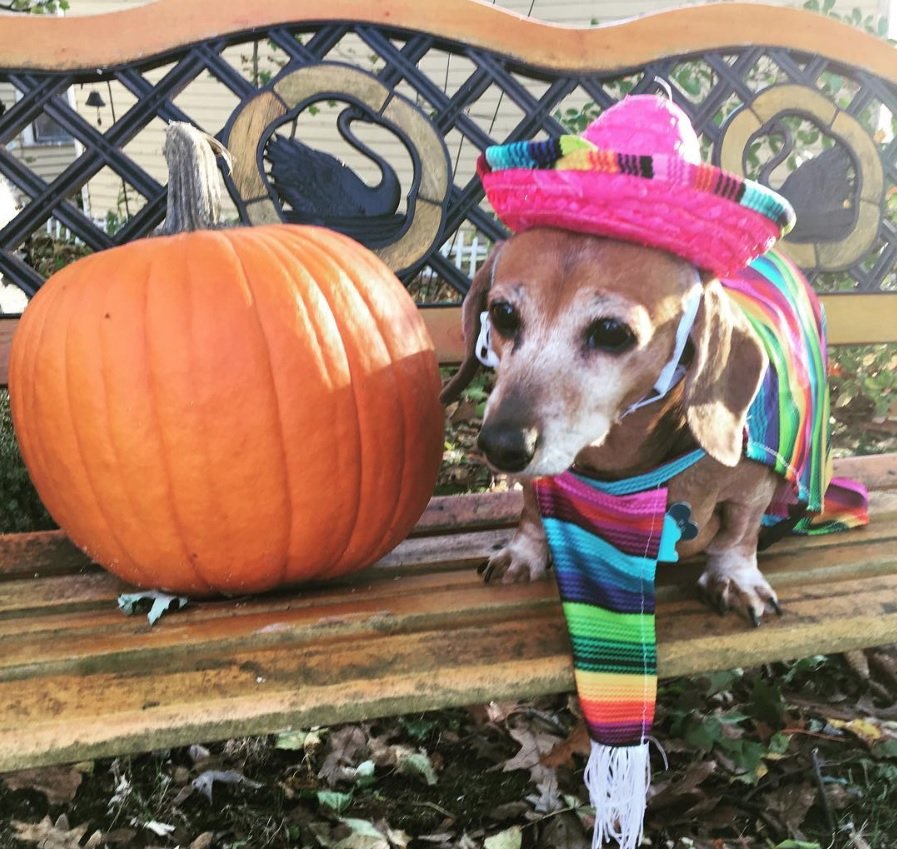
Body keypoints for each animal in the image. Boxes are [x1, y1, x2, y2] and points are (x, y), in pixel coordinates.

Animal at [438, 227, 788, 624]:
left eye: (610, 331)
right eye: (502, 313)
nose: (500, 446)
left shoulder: (753, 489)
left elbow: (738, 535)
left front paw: (734, 577)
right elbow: (531, 513)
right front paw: (523, 553)